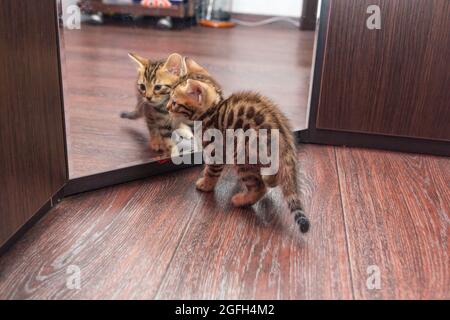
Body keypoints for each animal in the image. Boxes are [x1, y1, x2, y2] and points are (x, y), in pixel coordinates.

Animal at [167, 58, 312, 232]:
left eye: (174, 102)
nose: (167, 108)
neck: (212, 111)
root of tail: (285, 144)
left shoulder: (216, 151)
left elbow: (211, 171)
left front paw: (206, 184)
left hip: (243, 156)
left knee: (260, 187)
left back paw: (241, 200)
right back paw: (270, 180)